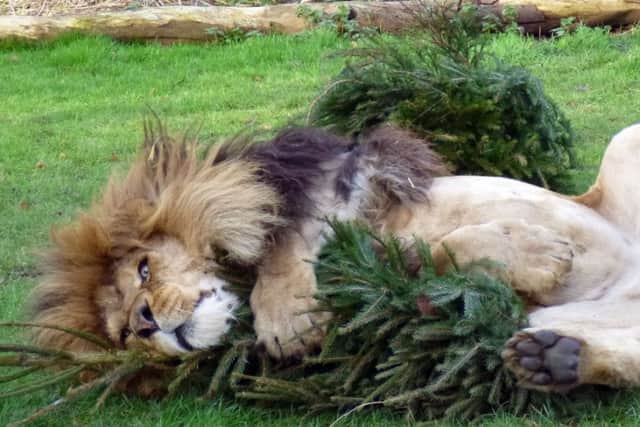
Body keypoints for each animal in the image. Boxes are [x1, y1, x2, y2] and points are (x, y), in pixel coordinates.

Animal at [30, 121, 640, 393]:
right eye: (122, 336)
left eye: (144, 269)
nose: (145, 321)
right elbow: (426, 256)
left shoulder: (344, 167)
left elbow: (283, 243)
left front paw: (284, 319)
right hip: (551, 317)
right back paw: (558, 359)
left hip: (623, 141)